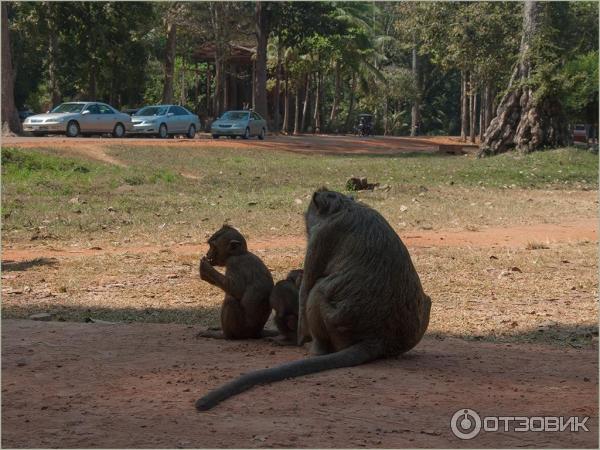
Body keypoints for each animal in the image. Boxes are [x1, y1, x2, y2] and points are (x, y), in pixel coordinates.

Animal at [197, 191, 432, 412]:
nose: (208, 255)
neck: (345, 207)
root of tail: (378, 339)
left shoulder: (322, 235)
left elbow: (306, 289)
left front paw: (296, 338)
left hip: (339, 327)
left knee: (317, 291)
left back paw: (313, 347)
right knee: (427, 300)